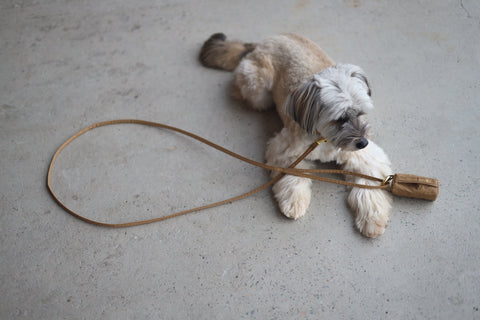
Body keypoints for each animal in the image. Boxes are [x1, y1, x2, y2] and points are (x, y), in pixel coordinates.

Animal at [201, 33, 392, 238]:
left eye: (361, 113)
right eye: (340, 119)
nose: (363, 142)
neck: (324, 138)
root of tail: (265, 41)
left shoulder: (365, 159)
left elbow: (367, 186)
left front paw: (372, 218)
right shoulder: (286, 152)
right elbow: (294, 179)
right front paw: (294, 203)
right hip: (259, 91)